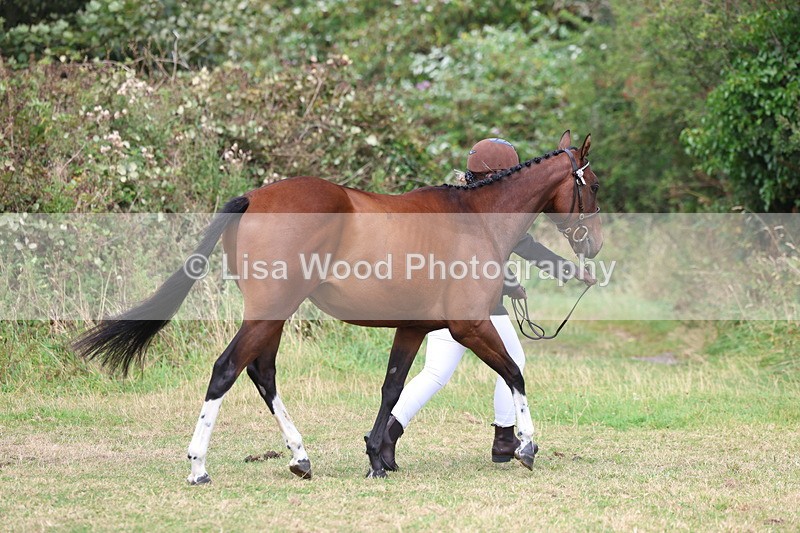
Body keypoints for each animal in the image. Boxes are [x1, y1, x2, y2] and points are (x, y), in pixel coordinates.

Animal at [73, 130, 602, 483]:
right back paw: (199, 465)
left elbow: (392, 388)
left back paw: (299, 457)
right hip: (270, 310)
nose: (594, 247)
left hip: (275, 314)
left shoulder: (412, 328)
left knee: (262, 373)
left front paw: (377, 458)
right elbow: (515, 373)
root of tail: (254, 197)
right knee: (227, 369)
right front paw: (526, 446)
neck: (476, 218)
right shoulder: (468, 326)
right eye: (593, 186)